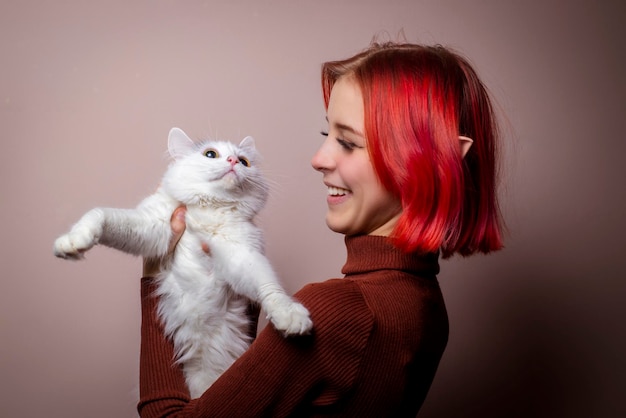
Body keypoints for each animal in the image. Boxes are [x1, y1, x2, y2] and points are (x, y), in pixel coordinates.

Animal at [52, 127, 310, 398]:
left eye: (244, 161)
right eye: (211, 154)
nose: (232, 161)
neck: (208, 209)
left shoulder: (242, 255)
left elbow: (269, 287)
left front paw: (290, 316)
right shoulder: (152, 227)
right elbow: (99, 215)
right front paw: (72, 241)